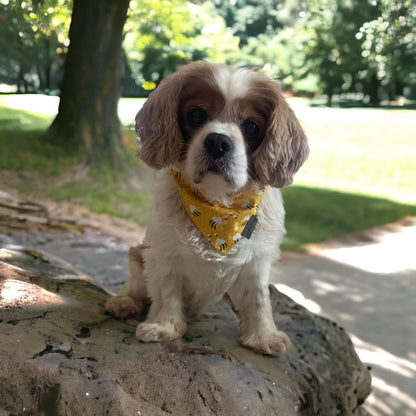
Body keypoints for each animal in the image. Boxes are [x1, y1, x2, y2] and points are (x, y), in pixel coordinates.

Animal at [105, 60, 308, 356]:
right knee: (136, 287)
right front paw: (163, 327)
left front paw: (262, 336)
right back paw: (124, 302)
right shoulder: (163, 252)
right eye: (196, 115)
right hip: (137, 253)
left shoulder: (256, 260)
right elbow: (166, 291)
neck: (217, 207)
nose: (217, 141)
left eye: (251, 126)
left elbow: (259, 299)